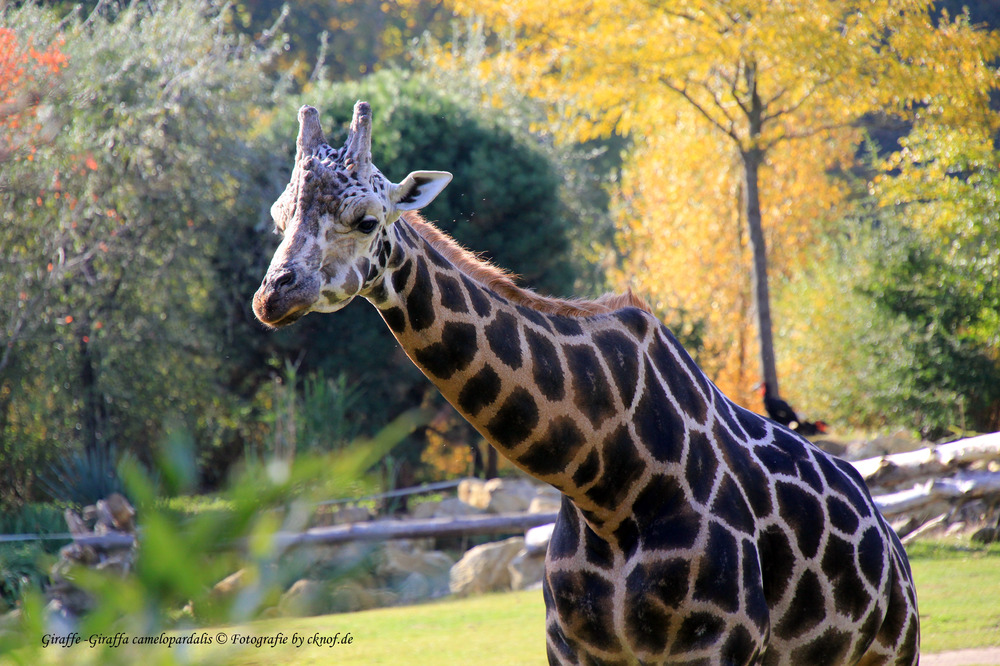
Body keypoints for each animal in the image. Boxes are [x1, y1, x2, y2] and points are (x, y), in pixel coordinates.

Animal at [254, 101, 916, 660]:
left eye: (367, 220)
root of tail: (890, 536)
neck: (607, 486)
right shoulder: (574, 648)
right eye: (280, 217)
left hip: (887, 651)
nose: (272, 295)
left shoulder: (717, 646)